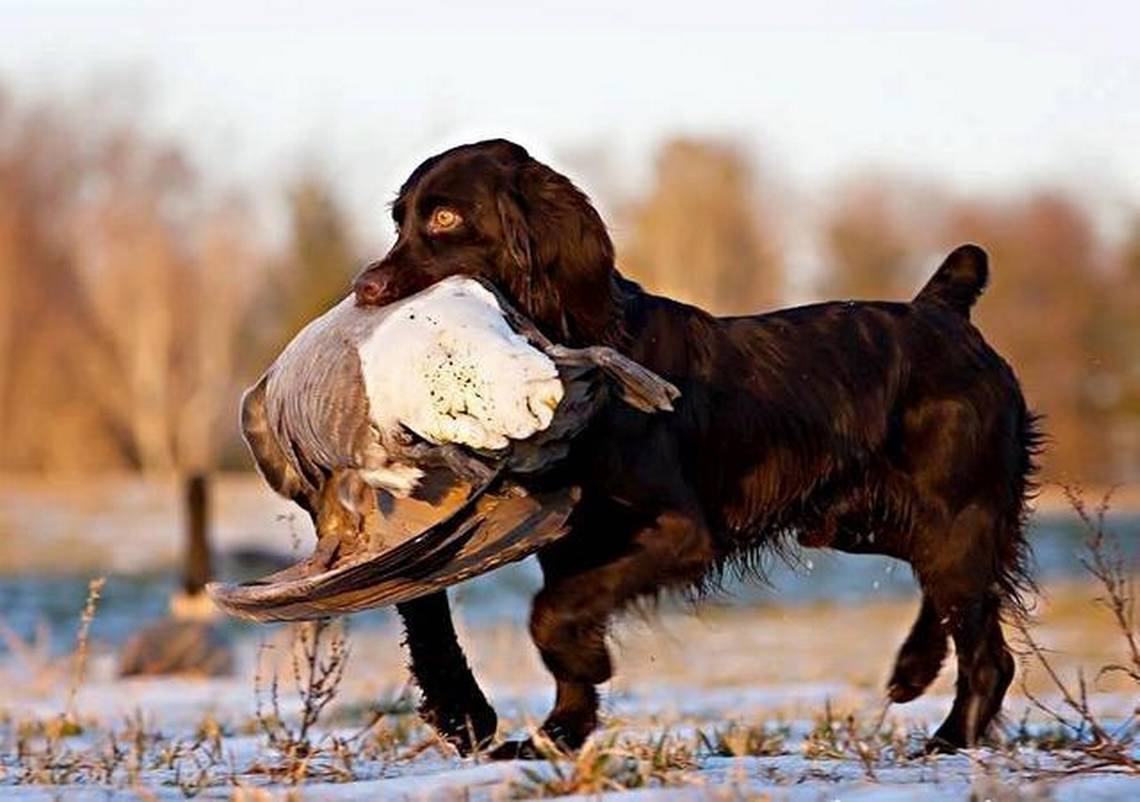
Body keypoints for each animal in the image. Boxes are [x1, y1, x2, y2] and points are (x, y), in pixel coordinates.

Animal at [355, 139, 1044, 756]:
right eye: (399, 217)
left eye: (445, 217)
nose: (365, 287)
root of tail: (944, 312)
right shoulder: (571, 542)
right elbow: (561, 616)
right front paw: (560, 733)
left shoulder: (681, 531)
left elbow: (551, 613)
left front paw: (583, 672)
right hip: (859, 522)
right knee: (960, 598)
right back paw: (913, 669)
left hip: (955, 514)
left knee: (989, 651)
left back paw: (949, 739)